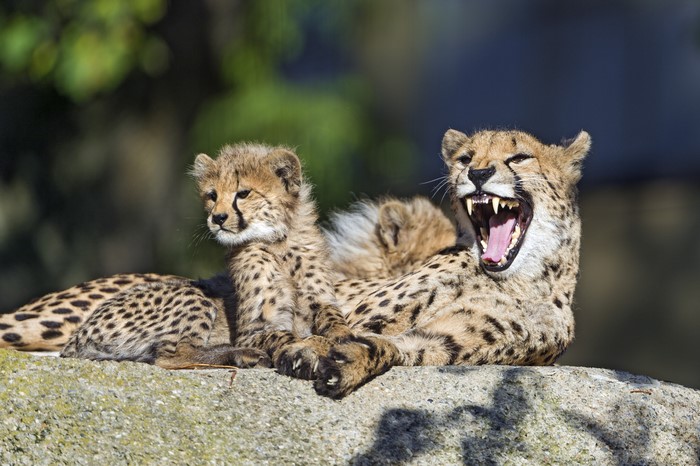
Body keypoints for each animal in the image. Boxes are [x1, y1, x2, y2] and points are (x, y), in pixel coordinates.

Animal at [311, 128, 591, 398]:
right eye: (465, 159)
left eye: (519, 157)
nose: (478, 173)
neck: (517, 281)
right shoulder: (359, 318)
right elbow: (335, 333)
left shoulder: (446, 340)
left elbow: (392, 346)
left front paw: (346, 363)